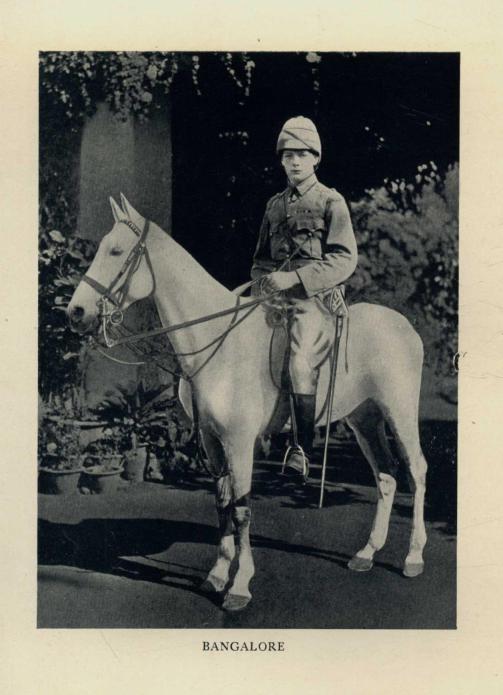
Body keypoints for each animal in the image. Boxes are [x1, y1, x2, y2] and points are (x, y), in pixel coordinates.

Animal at [67, 194, 428, 612]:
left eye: (116, 250)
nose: (75, 312)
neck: (218, 340)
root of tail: (405, 326)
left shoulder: (239, 444)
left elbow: (241, 509)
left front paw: (239, 585)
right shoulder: (211, 442)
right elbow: (222, 503)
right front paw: (217, 574)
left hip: (399, 412)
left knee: (416, 471)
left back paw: (413, 557)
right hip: (364, 418)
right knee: (386, 475)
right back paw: (367, 552)